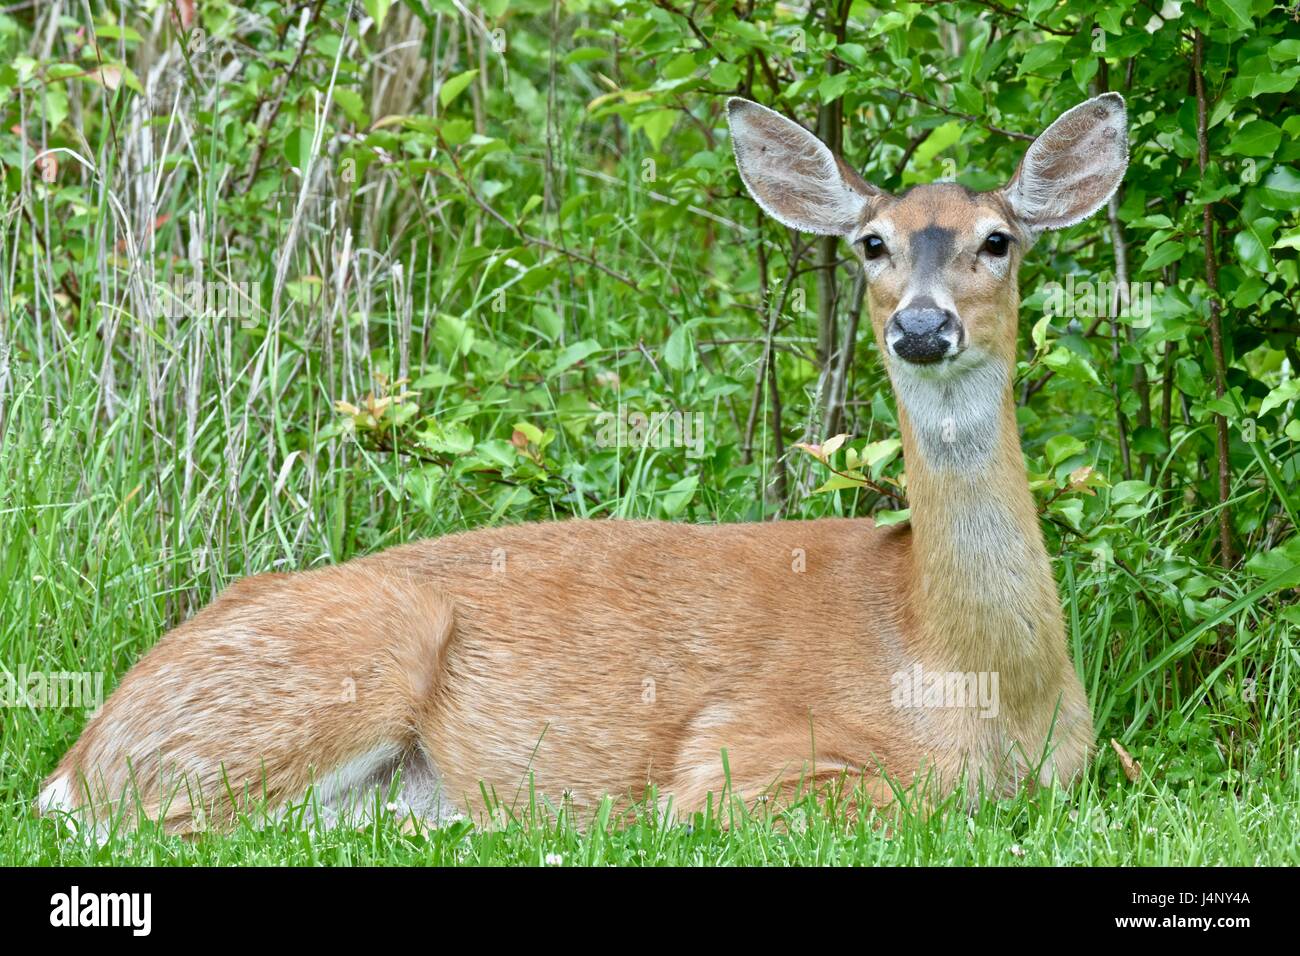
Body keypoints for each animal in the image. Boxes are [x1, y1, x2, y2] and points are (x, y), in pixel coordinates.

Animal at [39, 93, 1128, 833]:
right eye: (871, 244)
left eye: (999, 239)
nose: (921, 327)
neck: (968, 669)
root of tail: (84, 748)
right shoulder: (738, 758)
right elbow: (879, 799)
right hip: (337, 668)